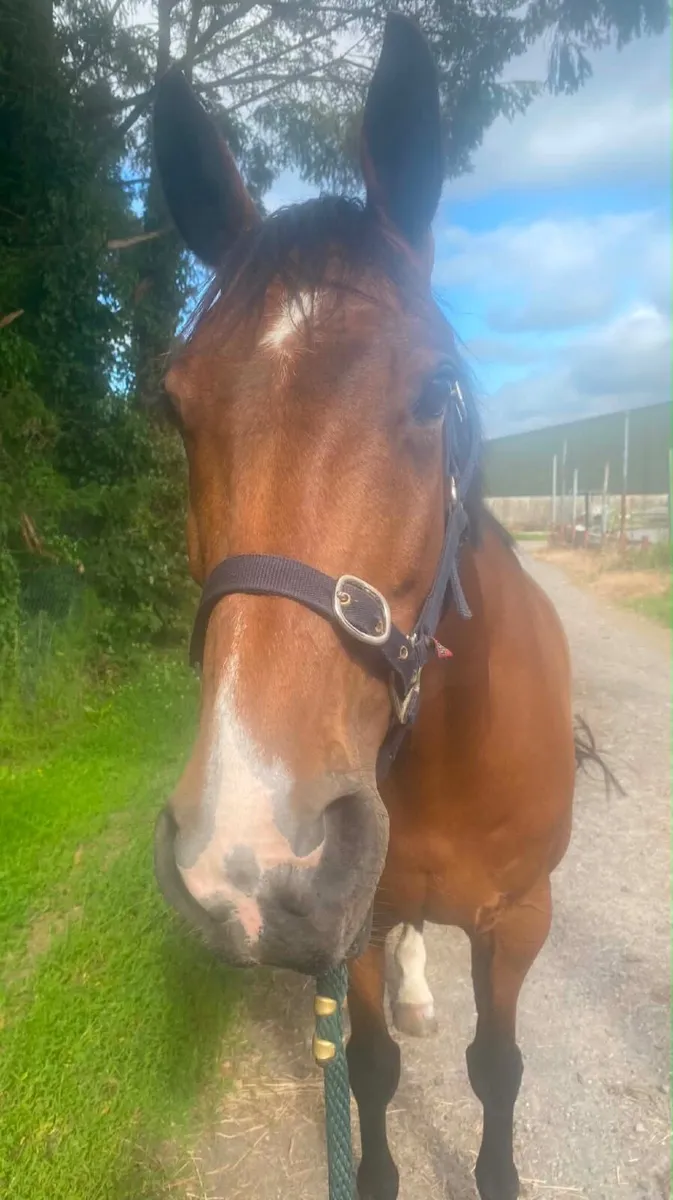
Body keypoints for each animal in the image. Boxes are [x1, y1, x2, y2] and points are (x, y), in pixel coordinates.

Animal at [151, 15, 601, 1200]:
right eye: (174, 407)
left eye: (436, 389)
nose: (251, 853)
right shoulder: (342, 926)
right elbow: (368, 1070)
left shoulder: (520, 921)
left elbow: (497, 1068)